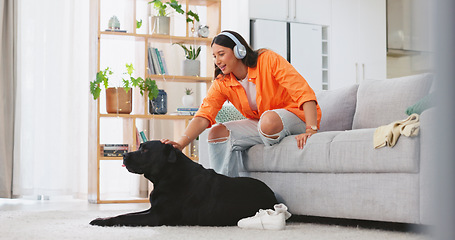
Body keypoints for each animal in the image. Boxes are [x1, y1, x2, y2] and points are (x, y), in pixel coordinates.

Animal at [90, 140, 278, 226]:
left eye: (144, 150)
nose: (124, 155)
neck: (167, 175)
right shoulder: (153, 209)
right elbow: (127, 214)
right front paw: (101, 217)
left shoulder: (157, 216)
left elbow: (125, 217)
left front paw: (101, 221)